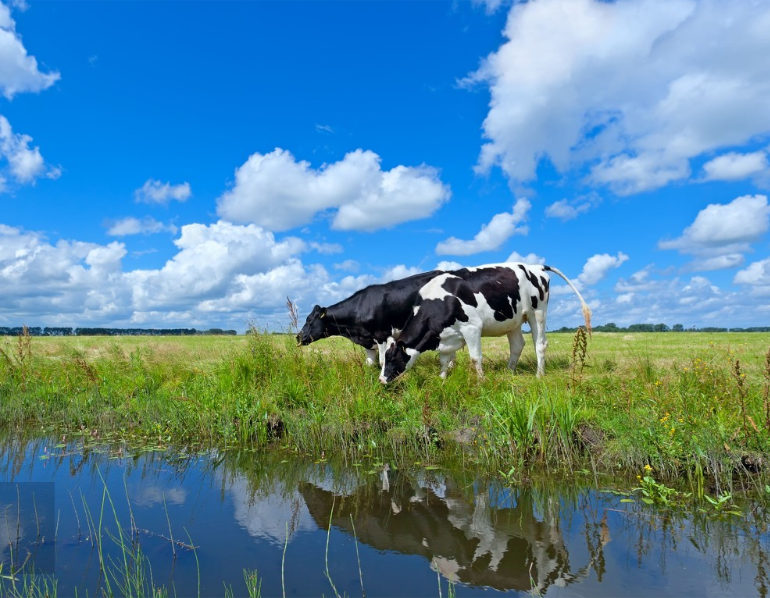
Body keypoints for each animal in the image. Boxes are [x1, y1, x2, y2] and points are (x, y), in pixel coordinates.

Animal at [296, 270, 440, 366]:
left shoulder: (382, 335)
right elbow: (370, 363)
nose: (298, 337)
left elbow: (382, 362)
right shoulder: (367, 340)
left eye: (309, 320)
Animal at [378, 264, 588, 384]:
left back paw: (539, 375)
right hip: (514, 320)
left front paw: (481, 381)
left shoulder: (471, 328)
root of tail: (536, 266)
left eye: (391, 358)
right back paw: (509, 372)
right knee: (517, 345)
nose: (381, 380)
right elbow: (443, 360)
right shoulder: (444, 335)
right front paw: (442, 379)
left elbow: (475, 358)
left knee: (540, 344)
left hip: (537, 312)